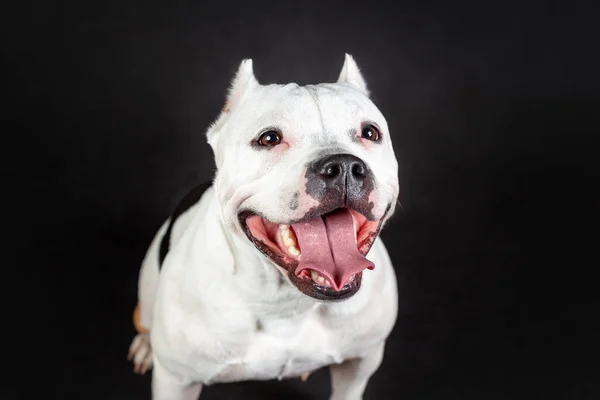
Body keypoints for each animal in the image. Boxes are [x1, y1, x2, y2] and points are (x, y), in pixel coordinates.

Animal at [126, 54, 398, 400]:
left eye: (370, 132)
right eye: (269, 139)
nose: (344, 166)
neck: (287, 303)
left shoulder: (361, 362)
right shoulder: (176, 381)